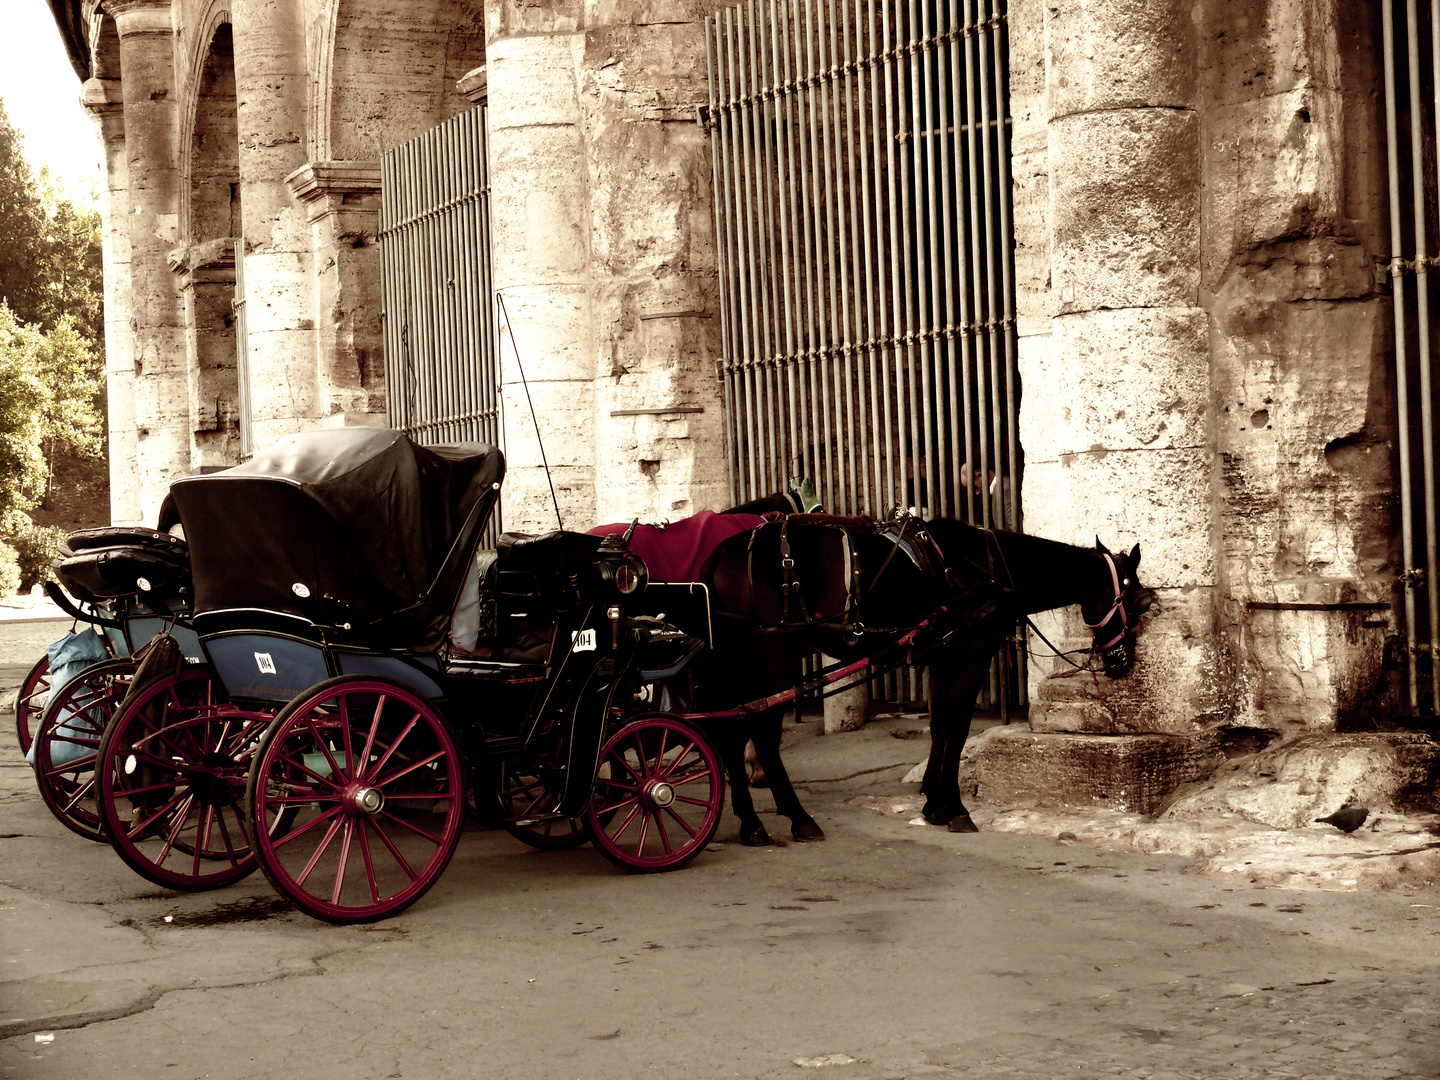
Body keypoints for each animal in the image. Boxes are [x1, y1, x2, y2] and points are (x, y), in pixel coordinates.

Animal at [691, 515, 1152, 846]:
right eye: (1140, 603)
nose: (1122, 663)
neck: (990, 569)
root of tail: (719, 555)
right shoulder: (969, 656)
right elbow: (957, 726)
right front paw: (956, 808)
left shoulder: (940, 656)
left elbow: (938, 726)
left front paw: (934, 801)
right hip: (773, 657)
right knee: (763, 735)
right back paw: (798, 817)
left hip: (744, 663)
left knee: (731, 731)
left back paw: (751, 822)